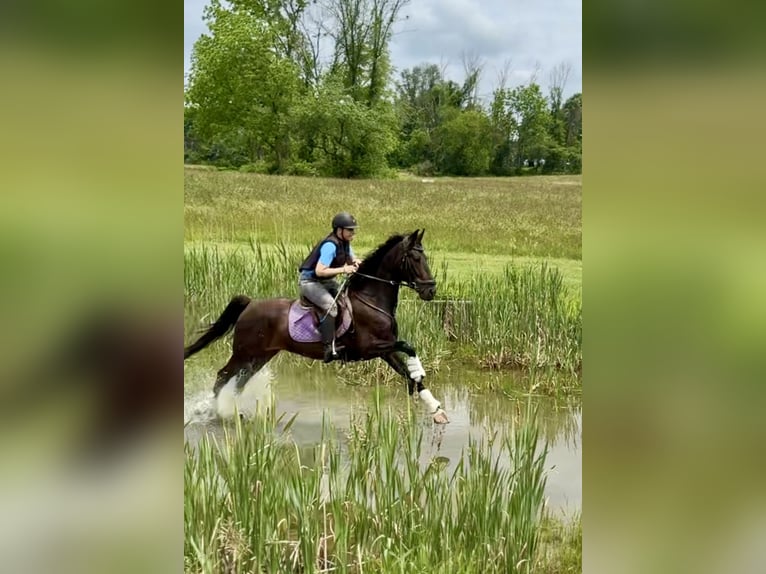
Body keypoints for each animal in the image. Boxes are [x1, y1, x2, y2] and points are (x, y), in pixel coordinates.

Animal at [183, 229, 449, 424]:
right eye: (415, 258)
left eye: (425, 258)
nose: (431, 290)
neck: (371, 299)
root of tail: (250, 304)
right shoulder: (370, 348)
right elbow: (409, 347)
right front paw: (421, 373)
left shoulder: (386, 349)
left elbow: (408, 374)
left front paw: (436, 410)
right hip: (245, 352)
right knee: (222, 377)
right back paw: (217, 413)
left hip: (259, 356)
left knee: (237, 382)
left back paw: (229, 411)